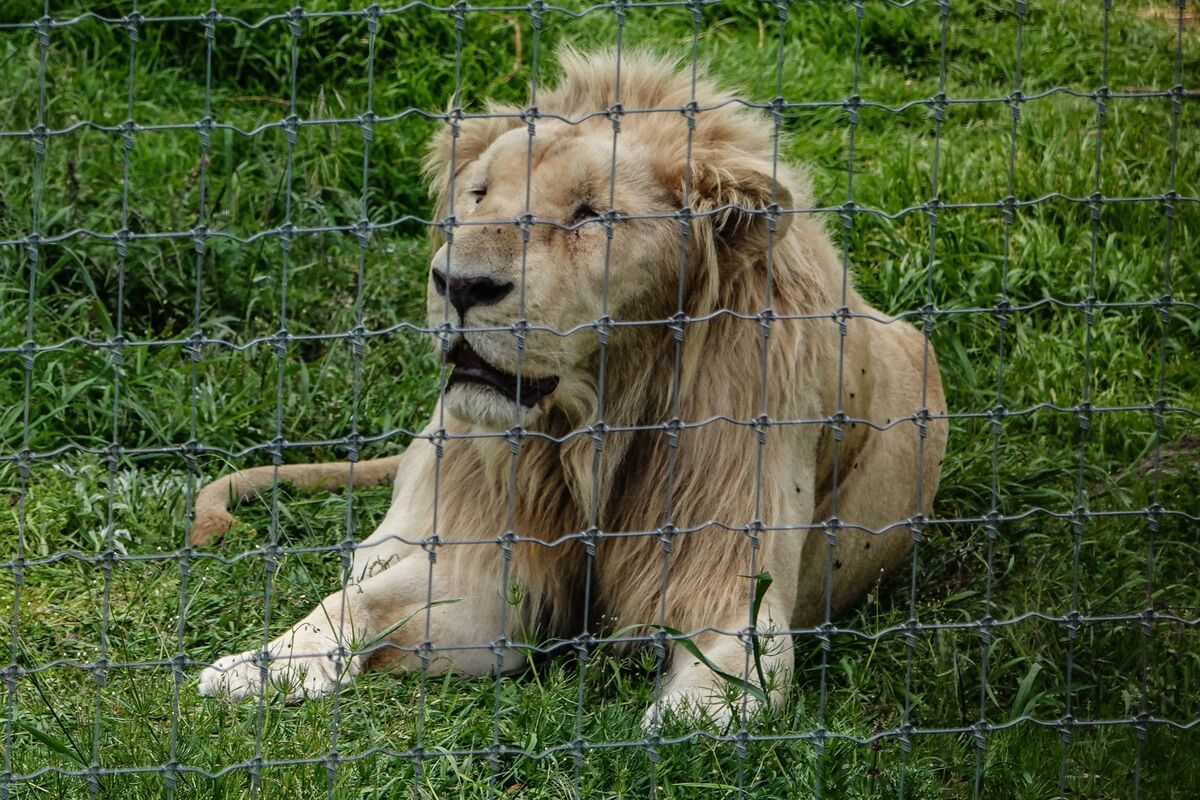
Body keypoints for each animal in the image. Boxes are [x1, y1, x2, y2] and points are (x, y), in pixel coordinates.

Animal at [196, 50, 948, 727]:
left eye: (591, 216)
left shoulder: (734, 587)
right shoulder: (493, 579)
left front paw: (676, 721)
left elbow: (719, 692)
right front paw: (260, 667)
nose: (458, 285)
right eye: (478, 194)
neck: (592, 428)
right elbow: (358, 605)